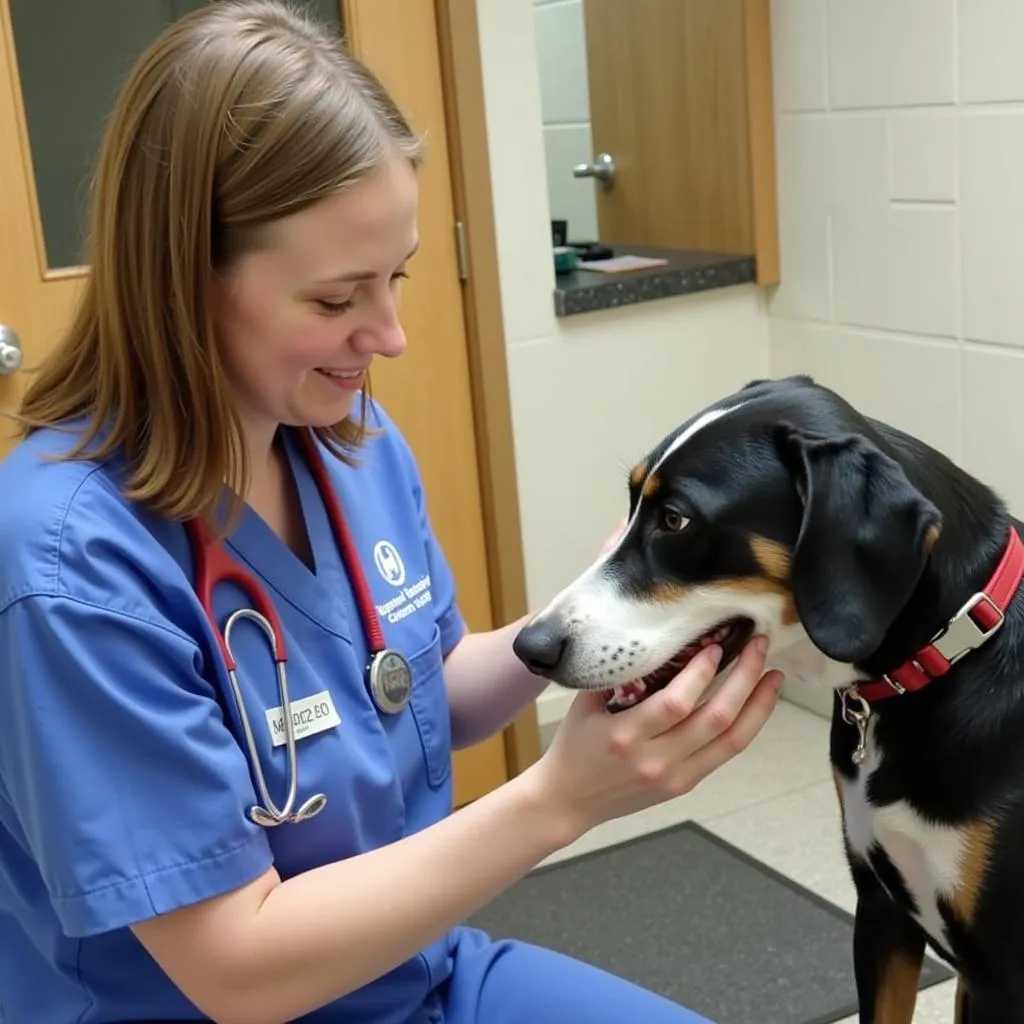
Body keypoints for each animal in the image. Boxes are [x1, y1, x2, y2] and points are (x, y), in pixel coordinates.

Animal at [516, 376, 1024, 1024]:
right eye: (632, 505)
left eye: (675, 519)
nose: (530, 647)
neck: (938, 665)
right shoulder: (881, 913)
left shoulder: (997, 972)